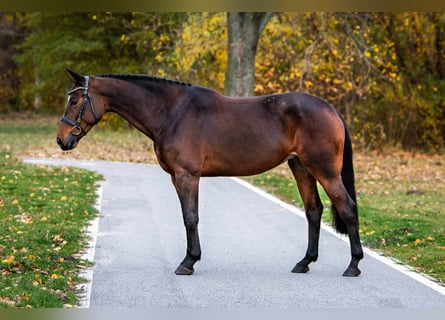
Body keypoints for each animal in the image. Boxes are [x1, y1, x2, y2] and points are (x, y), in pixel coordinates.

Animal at [57, 69, 362, 276]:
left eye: (75, 101)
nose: (62, 140)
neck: (171, 112)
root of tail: (331, 109)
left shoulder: (186, 175)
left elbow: (191, 217)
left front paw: (188, 262)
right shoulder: (176, 177)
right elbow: (186, 216)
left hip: (324, 171)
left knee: (346, 207)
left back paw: (353, 265)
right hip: (301, 167)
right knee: (313, 210)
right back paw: (304, 262)